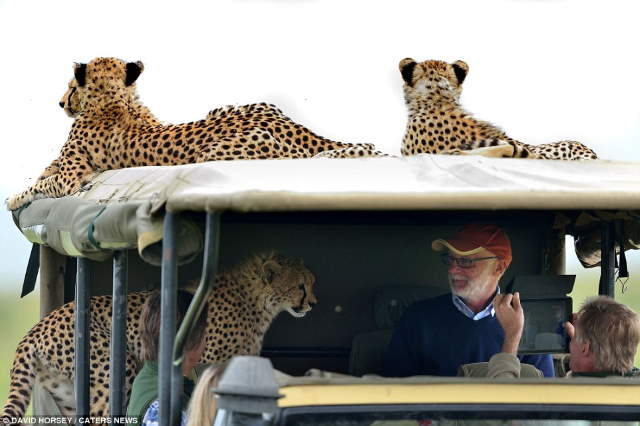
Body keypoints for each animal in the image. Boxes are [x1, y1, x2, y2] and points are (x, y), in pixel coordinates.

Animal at [1, 253, 316, 420]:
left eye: (311, 283)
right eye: (300, 286)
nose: (312, 303)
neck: (256, 299)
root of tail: (38, 326)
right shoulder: (205, 358)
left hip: (67, 391)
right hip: (114, 367)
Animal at [6, 56, 384, 210]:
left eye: (71, 87)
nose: (60, 102)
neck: (117, 98)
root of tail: (290, 124)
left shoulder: (73, 180)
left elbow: (42, 184)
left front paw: (14, 198)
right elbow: (44, 172)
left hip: (219, 151)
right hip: (230, 107)